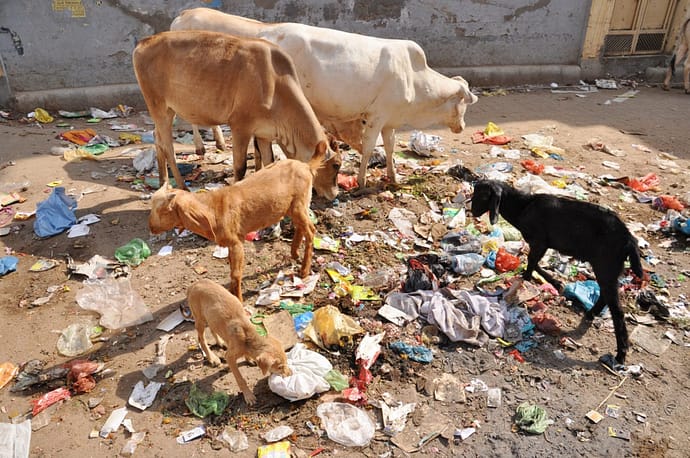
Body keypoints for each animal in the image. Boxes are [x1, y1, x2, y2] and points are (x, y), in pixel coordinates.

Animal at [131, 30, 338, 199]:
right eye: (336, 165)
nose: (334, 195)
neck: (276, 85)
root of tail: (144, 42)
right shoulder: (240, 126)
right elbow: (240, 167)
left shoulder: (264, 133)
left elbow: (269, 162)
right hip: (158, 106)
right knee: (167, 145)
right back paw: (182, 186)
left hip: (167, 110)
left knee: (157, 138)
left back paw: (162, 182)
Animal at [149, 157, 316, 300]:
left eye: (164, 211)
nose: (151, 228)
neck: (213, 210)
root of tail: (306, 166)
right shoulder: (229, 243)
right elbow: (231, 271)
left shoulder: (236, 243)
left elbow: (235, 274)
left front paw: (239, 300)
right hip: (293, 207)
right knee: (301, 227)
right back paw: (294, 254)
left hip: (299, 203)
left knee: (311, 231)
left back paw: (304, 270)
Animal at [169, 7, 476, 187]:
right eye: (463, 103)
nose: (461, 126)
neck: (415, 78)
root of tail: (265, 34)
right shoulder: (374, 117)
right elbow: (368, 149)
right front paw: (362, 181)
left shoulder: (389, 121)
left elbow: (389, 149)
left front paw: (393, 177)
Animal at [470, 180, 644, 364]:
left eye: (483, 195)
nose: (473, 211)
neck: (523, 206)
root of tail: (629, 239)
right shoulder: (542, 244)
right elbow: (534, 263)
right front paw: (555, 282)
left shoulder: (539, 241)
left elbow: (531, 262)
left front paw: (526, 280)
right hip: (611, 269)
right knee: (606, 295)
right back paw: (591, 314)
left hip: (606, 265)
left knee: (617, 310)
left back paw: (621, 353)